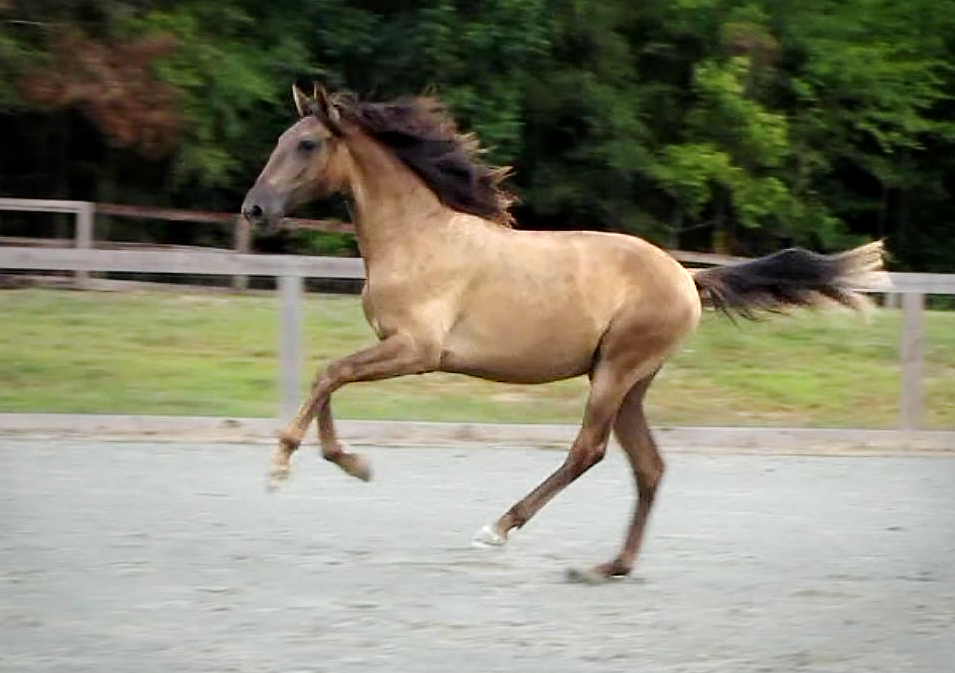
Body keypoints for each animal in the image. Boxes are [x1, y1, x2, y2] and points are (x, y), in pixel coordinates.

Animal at [239, 85, 888, 584]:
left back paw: (499, 528)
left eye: (306, 143)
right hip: (631, 382)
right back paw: (610, 567)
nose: (254, 210)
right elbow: (329, 378)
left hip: (616, 372)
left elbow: (331, 373)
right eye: (280, 139)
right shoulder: (395, 347)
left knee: (589, 451)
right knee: (648, 467)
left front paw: (283, 467)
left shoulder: (417, 349)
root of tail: (688, 275)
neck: (418, 239)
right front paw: (350, 463)